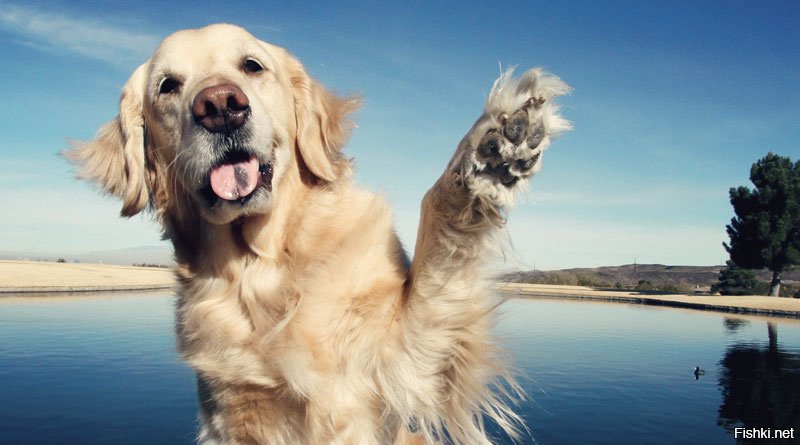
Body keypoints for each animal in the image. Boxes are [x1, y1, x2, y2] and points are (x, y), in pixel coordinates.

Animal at [67, 24, 568, 444]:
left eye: (252, 66)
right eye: (168, 85)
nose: (220, 106)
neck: (263, 267)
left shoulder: (404, 360)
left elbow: (439, 235)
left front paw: (492, 151)